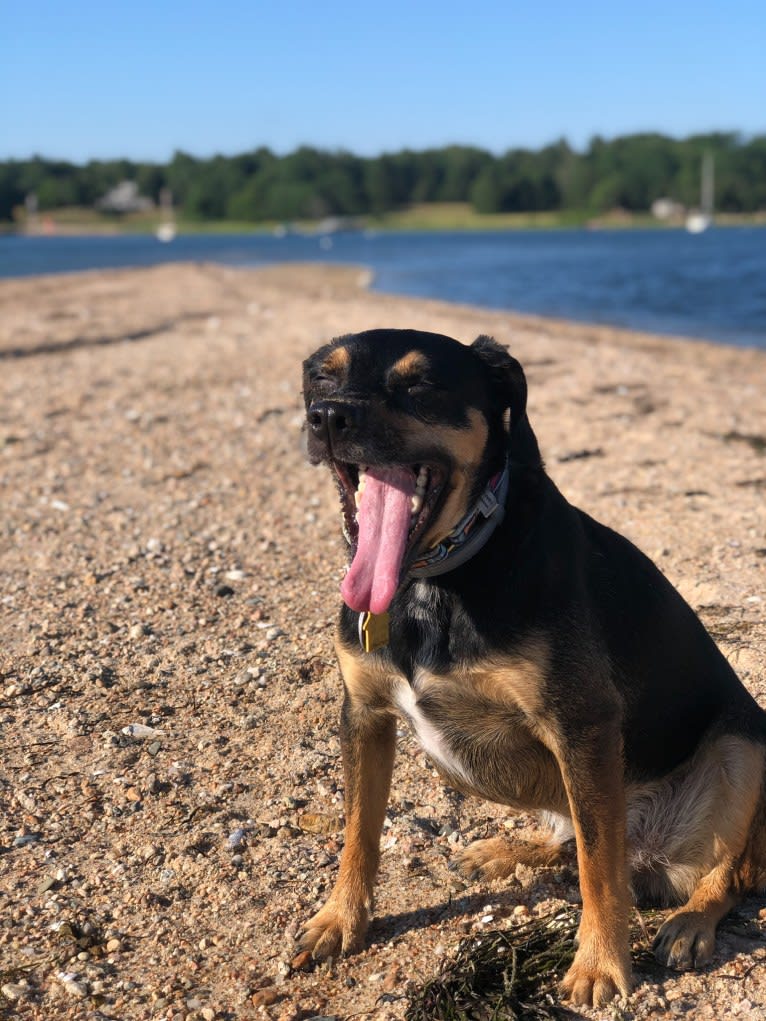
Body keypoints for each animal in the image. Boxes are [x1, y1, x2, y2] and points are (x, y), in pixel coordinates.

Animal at [296, 328, 763, 1004]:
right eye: (321, 378)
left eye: (420, 385)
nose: (328, 417)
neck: (434, 579)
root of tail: (653, 853)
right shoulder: (363, 713)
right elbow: (358, 832)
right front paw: (339, 919)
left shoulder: (581, 726)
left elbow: (601, 871)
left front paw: (598, 964)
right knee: (578, 844)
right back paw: (508, 851)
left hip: (743, 746)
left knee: (713, 870)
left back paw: (692, 921)